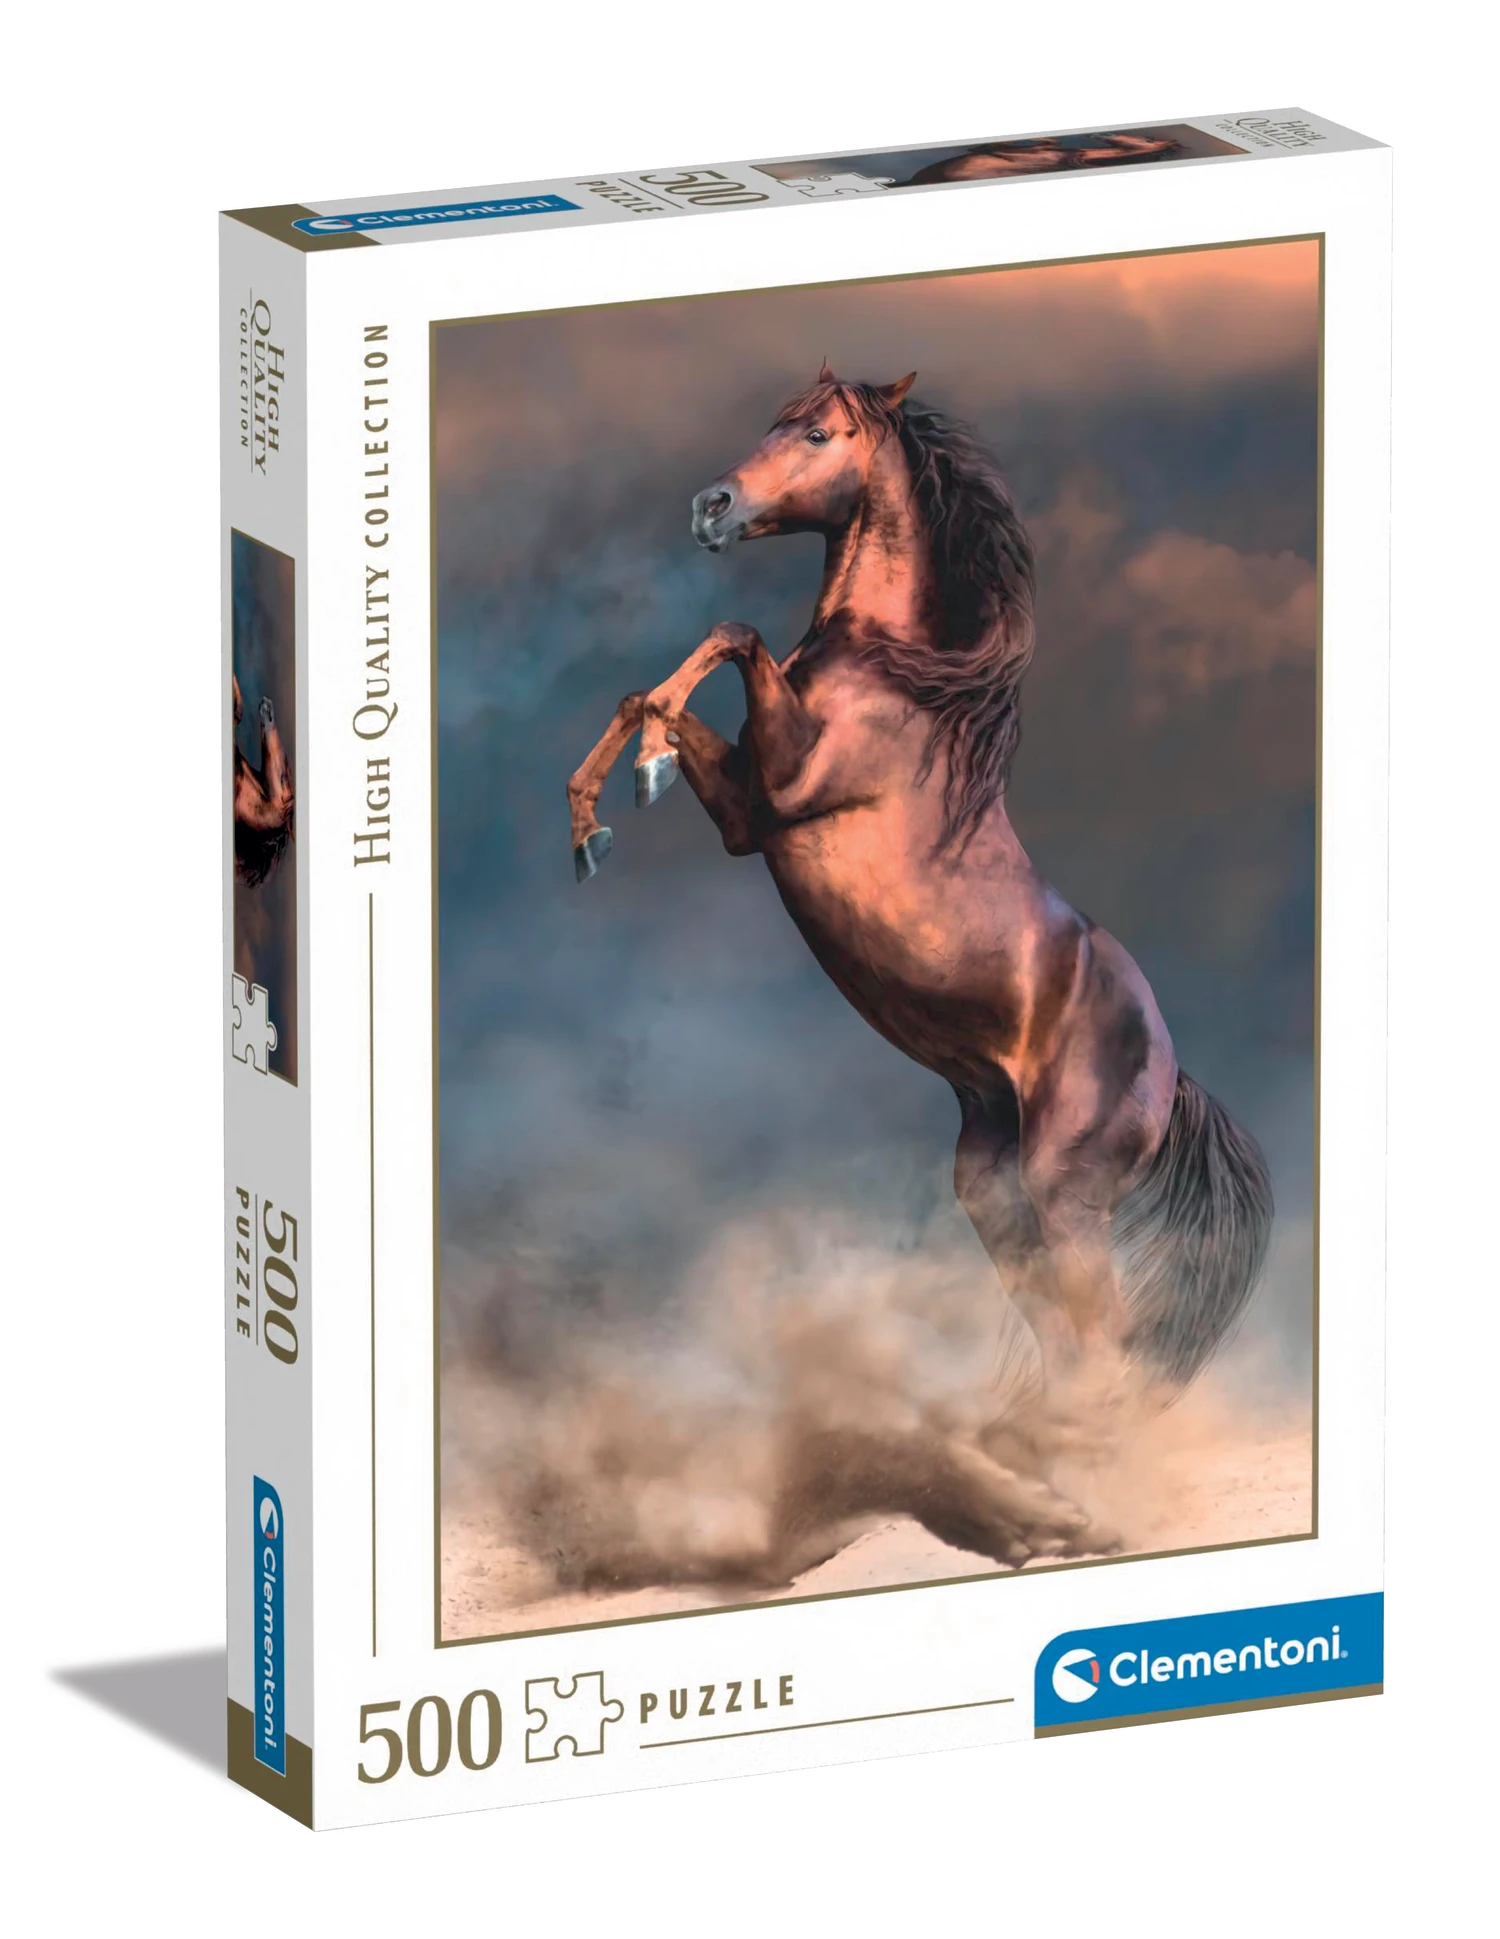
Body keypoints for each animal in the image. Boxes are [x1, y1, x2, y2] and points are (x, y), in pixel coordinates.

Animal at [566, 364, 1272, 1566]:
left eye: (816, 432)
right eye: (771, 421)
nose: (711, 507)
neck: (891, 677)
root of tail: (1173, 1072)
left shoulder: (782, 789)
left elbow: (730, 634)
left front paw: (639, 777)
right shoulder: (748, 813)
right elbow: (651, 690)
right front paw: (593, 822)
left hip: (1069, 1186)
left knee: (1104, 1340)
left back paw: (1074, 1500)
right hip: (993, 1184)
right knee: (1067, 1340)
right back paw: (1033, 1484)